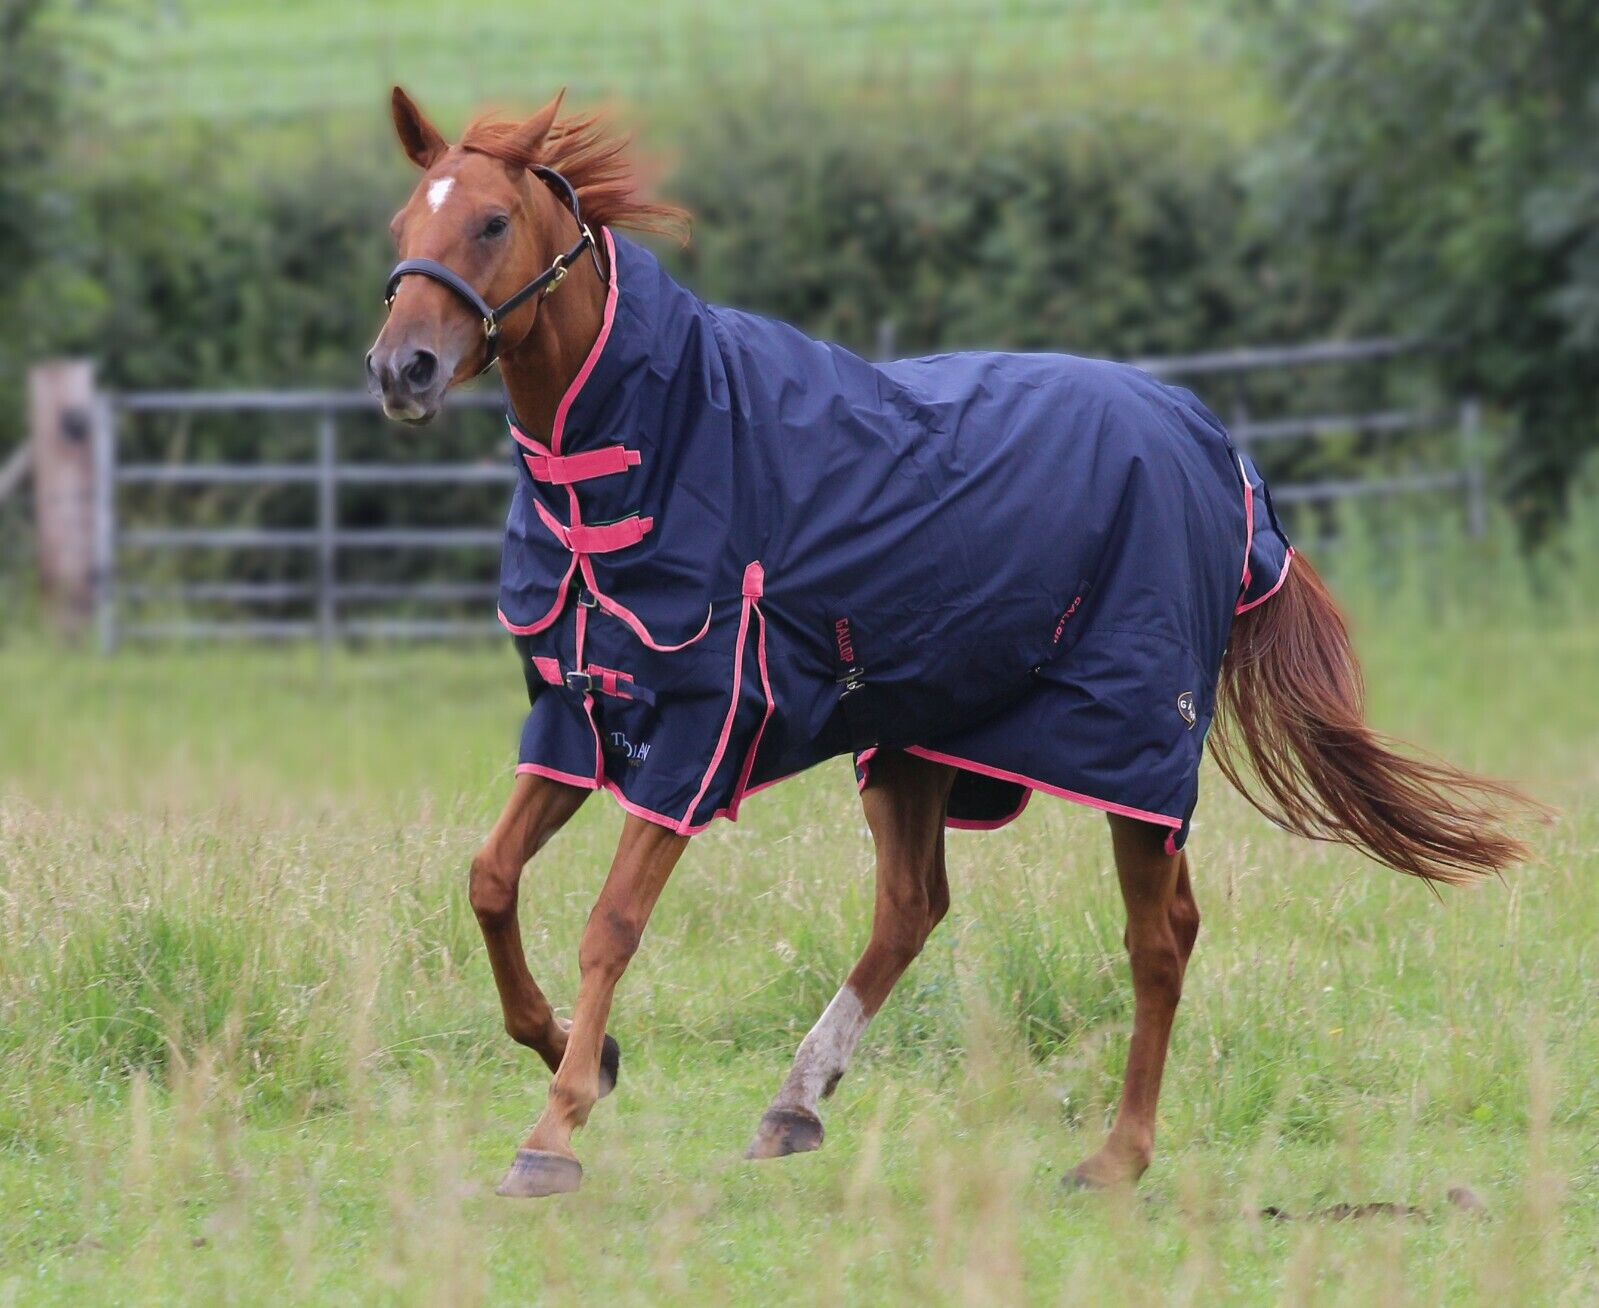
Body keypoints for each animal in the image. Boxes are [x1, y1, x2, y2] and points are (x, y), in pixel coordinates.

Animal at [365, 87, 1540, 1200]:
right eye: (401, 223)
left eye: (491, 221)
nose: (400, 369)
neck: (647, 446)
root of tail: (1216, 447)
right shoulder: (583, 717)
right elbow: (489, 880)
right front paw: (583, 1052)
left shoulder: (702, 732)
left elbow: (610, 922)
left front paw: (553, 1131)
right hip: (916, 743)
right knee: (913, 908)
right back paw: (797, 1101)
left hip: (1130, 755)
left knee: (1157, 940)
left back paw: (1115, 1157)